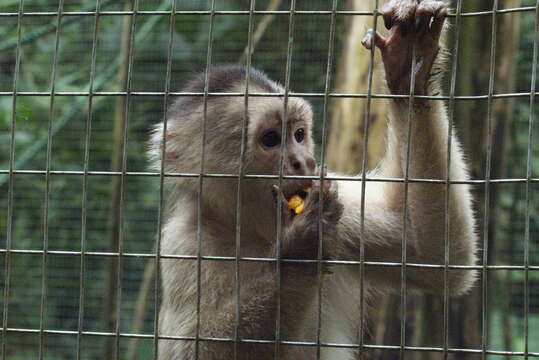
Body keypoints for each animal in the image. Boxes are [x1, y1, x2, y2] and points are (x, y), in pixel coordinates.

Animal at [148, 0, 476, 360]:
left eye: (299, 135)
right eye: (271, 140)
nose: (303, 161)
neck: (253, 231)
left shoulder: (336, 197)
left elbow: (432, 254)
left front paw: (410, 68)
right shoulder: (183, 243)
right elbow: (187, 351)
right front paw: (300, 253)